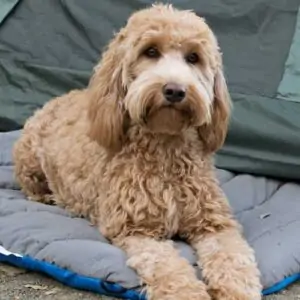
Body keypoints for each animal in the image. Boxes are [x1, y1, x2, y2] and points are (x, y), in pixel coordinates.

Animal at [13, 2, 262, 300]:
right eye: (150, 51)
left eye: (193, 57)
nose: (175, 90)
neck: (166, 147)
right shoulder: (137, 230)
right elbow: (169, 269)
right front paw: (187, 291)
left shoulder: (214, 223)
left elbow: (234, 259)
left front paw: (236, 289)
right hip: (29, 160)